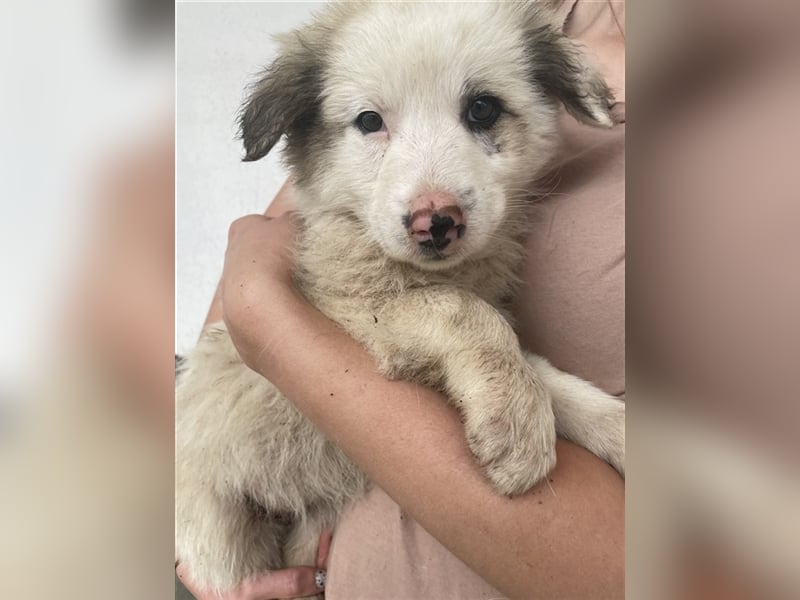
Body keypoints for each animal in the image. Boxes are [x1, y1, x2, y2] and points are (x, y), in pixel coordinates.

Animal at [176, 1, 624, 593]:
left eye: (483, 109)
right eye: (370, 121)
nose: (435, 222)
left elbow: (549, 376)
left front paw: (613, 428)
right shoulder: (345, 308)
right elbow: (467, 314)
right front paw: (517, 421)